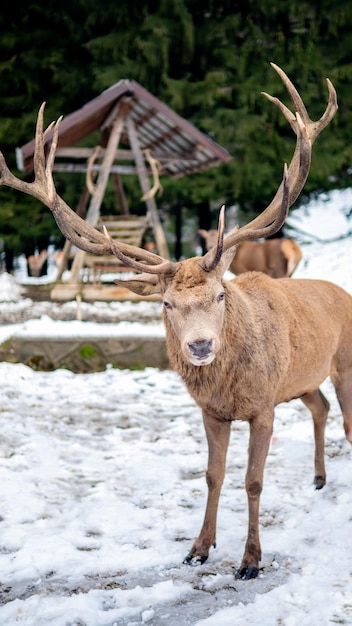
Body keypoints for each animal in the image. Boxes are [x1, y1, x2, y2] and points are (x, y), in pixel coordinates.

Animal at [0, 64, 350, 580]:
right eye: (166, 303)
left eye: (220, 294)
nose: (201, 346)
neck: (229, 388)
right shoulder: (211, 411)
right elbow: (212, 475)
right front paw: (199, 548)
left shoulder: (263, 406)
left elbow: (253, 481)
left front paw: (250, 560)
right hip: (302, 379)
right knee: (320, 408)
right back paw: (319, 479)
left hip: (343, 363)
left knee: (346, 419)